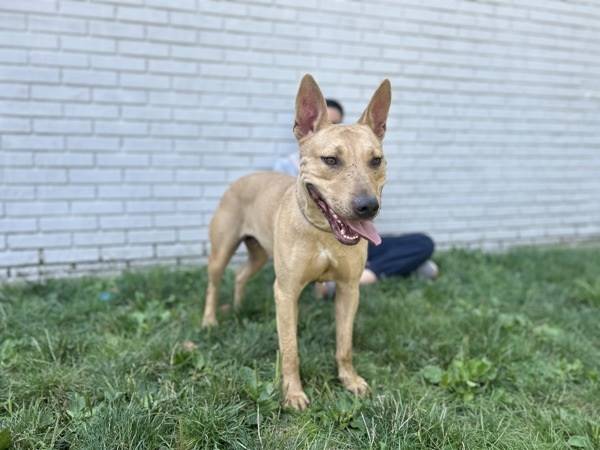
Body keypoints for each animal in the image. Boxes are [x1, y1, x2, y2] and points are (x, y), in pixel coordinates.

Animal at [202, 74, 392, 412]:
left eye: (376, 161)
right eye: (330, 160)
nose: (368, 207)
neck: (323, 231)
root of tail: (242, 178)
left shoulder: (348, 289)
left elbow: (344, 344)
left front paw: (350, 380)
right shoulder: (286, 292)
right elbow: (290, 350)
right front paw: (292, 394)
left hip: (260, 255)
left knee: (240, 275)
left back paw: (238, 307)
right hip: (221, 251)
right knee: (214, 283)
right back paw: (210, 320)